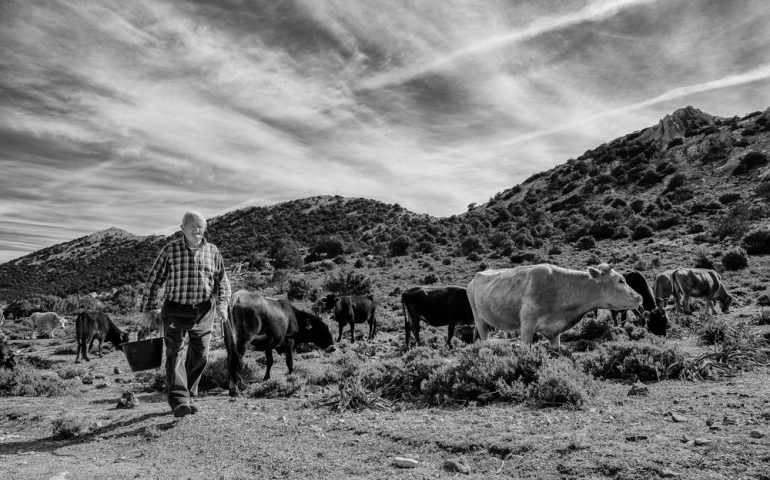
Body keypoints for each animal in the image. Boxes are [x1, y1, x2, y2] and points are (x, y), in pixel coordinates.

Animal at [468, 262, 640, 348]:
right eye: (621, 280)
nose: (640, 297)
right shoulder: (527, 323)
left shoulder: (554, 332)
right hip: (479, 319)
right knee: (483, 338)